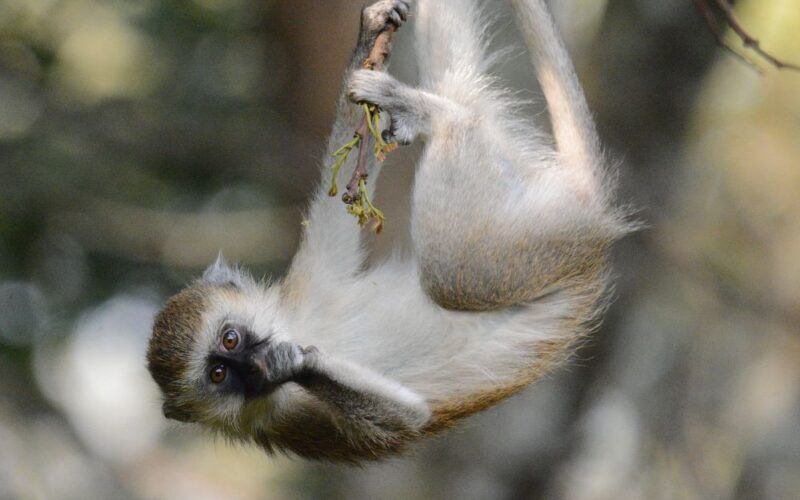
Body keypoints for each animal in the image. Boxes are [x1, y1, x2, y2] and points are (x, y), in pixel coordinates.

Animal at [146, 0, 632, 462]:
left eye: (230, 338)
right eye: (218, 375)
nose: (251, 364)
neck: (299, 325)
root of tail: (593, 221)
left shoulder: (307, 290)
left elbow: (337, 208)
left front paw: (366, 39)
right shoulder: (283, 416)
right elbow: (405, 420)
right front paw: (293, 365)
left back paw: (422, 104)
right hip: (527, 247)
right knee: (451, 276)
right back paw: (440, 118)